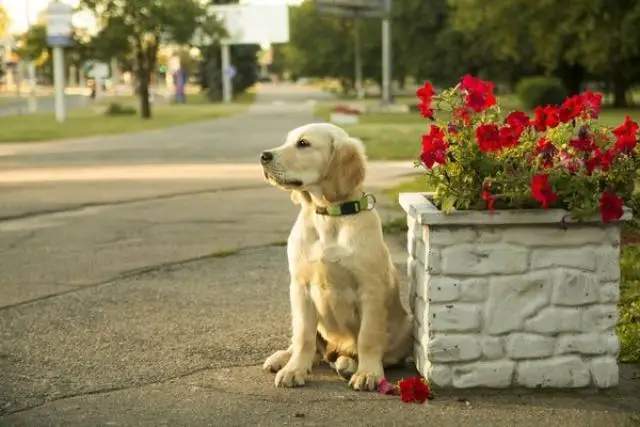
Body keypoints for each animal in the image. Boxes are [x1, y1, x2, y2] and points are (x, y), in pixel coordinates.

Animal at [262, 123, 416, 392]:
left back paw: (349, 364)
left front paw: (368, 373)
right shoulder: (300, 287)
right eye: (288, 140)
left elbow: (368, 337)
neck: (329, 215)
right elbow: (303, 336)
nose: (263, 156)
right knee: (310, 346)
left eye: (303, 144)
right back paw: (284, 358)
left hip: (405, 325)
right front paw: (294, 369)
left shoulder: (370, 290)